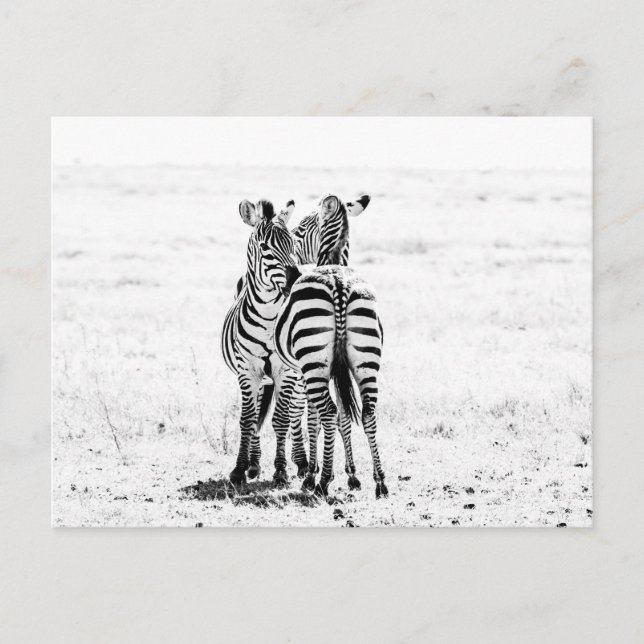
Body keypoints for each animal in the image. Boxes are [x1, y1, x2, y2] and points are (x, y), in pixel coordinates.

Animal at [221, 198, 307, 488]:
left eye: (293, 244)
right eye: (265, 247)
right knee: (258, 413)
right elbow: (248, 419)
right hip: (259, 378)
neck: (269, 316)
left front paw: (280, 471)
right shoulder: (247, 370)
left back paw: (303, 463)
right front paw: (239, 469)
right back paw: (254, 463)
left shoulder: (285, 371)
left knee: (296, 413)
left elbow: (281, 419)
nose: (296, 280)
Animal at [275, 194, 388, 498]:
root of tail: (338, 283)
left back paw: (323, 481)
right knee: (368, 412)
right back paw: (380, 481)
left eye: (301, 227)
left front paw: (313, 473)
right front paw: (352, 475)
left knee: (326, 411)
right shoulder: (340, 369)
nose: (294, 268)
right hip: (366, 360)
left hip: (313, 364)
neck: (332, 260)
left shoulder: (307, 371)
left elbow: (314, 418)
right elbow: (345, 418)